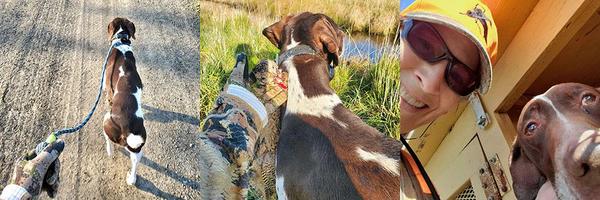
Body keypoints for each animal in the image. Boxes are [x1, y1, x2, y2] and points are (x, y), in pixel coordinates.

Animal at [101, 17, 146, 186]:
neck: (121, 41)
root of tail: (126, 129)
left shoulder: (106, 87)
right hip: (138, 149)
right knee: (135, 166)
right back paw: (131, 179)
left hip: (106, 120)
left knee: (108, 140)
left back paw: (109, 150)